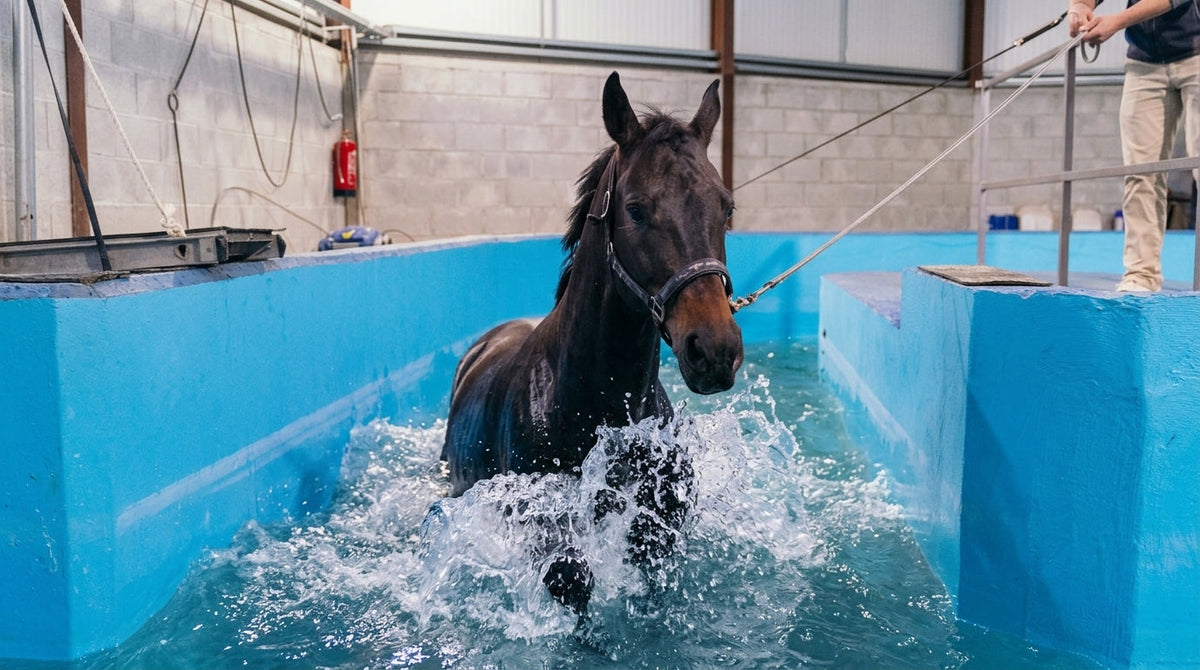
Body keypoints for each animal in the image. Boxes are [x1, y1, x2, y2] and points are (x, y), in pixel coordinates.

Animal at [439, 71, 743, 618]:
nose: (714, 350)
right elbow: (571, 578)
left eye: (726, 207)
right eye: (635, 209)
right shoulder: (541, 522)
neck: (596, 406)